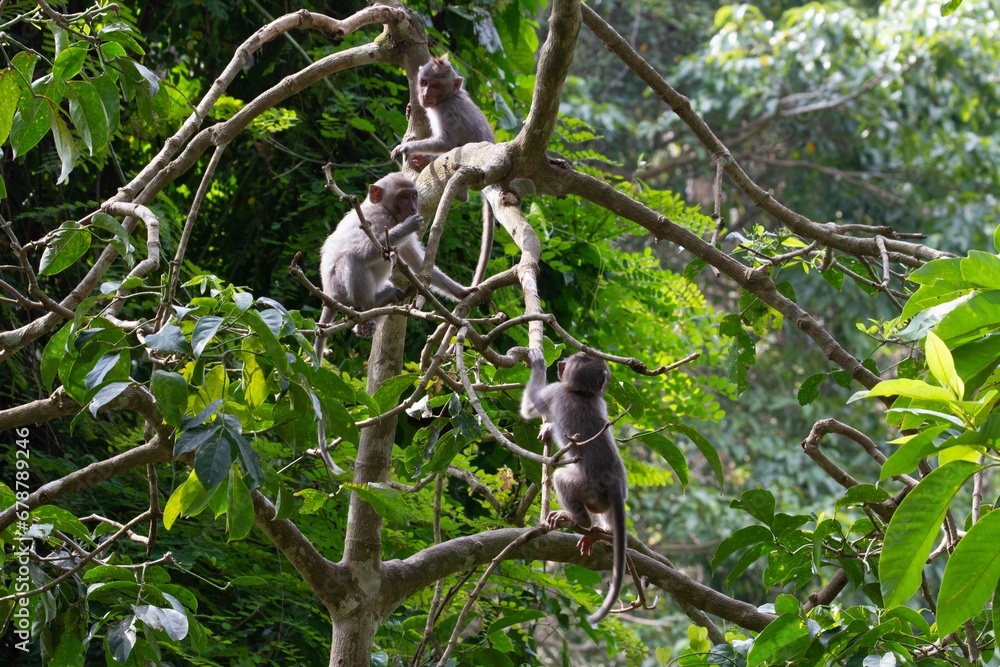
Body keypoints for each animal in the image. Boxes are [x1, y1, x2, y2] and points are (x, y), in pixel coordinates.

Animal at [315, 172, 472, 351]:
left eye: (413, 196)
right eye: (403, 197)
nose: (413, 208)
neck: (385, 210)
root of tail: (329, 294)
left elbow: (419, 265)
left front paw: (462, 292)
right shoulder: (375, 220)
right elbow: (364, 250)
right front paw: (409, 225)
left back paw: (365, 325)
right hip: (339, 286)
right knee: (351, 259)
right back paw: (370, 304)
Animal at [390, 54, 496, 285]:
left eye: (436, 85)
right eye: (424, 82)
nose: (425, 94)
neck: (448, 97)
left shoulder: (446, 112)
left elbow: (445, 141)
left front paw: (407, 148)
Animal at [520, 348, 627, 625]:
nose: (559, 363)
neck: (581, 393)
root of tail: (614, 482)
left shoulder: (555, 391)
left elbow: (529, 406)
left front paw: (538, 363)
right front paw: (547, 428)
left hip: (588, 487)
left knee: (560, 477)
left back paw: (581, 522)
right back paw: (602, 532)